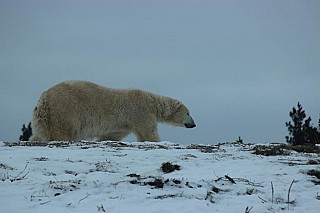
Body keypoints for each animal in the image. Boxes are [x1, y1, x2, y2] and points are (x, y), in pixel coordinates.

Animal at [30, 80, 195, 142]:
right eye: (188, 113)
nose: (194, 124)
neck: (152, 102)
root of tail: (44, 99)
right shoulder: (140, 111)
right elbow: (149, 132)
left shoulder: (123, 123)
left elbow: (111, 134)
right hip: (65, 109)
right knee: (61, 131)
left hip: (44, 117)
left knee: (40, 132)